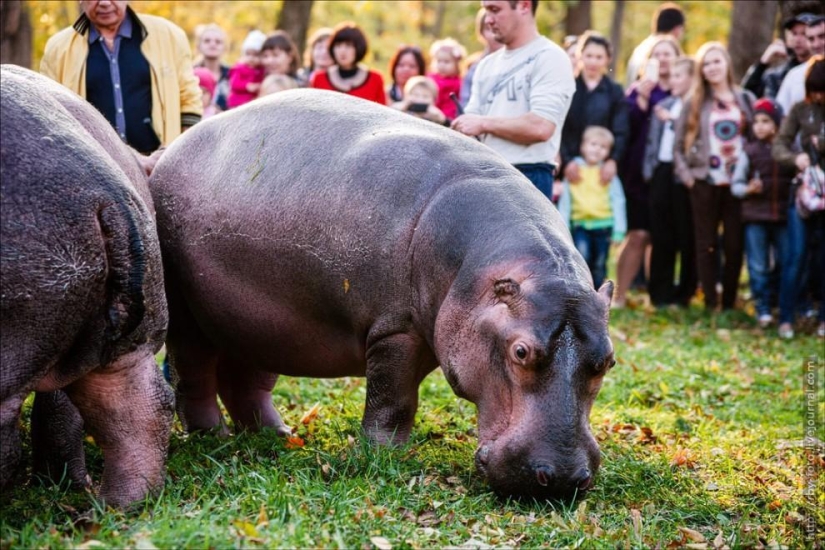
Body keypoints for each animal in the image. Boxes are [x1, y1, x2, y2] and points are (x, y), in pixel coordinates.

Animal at [151, 89, 615, 500]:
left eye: (608, 361)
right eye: (520, 351)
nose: (561, 477)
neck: (480, 270)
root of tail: (169, 150)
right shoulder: (396, 330)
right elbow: (393, 399)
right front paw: (382, 456)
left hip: (258, 320)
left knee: (245, 380)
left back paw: (277, 435)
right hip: (190, 316)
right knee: (193, 374)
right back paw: (212, 435)